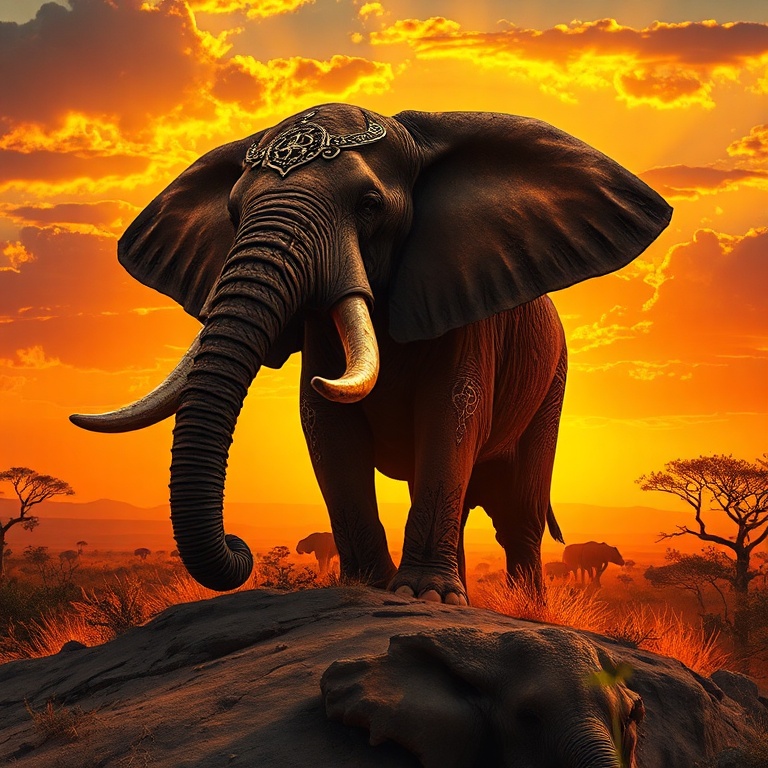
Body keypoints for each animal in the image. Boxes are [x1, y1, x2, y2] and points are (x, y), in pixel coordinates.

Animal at [69, 103, 671, 604]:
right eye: (234, 213)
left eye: (368, 205)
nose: (241, 548)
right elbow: (325, 423)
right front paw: (369, 588)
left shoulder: (465, 305)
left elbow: (451, 413)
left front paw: (423, 597)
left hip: (552, 384)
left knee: (518, 515)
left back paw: (521, 610)